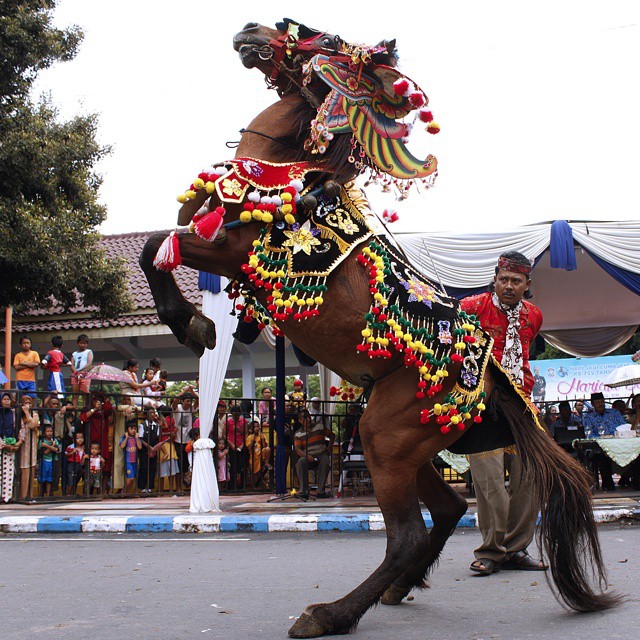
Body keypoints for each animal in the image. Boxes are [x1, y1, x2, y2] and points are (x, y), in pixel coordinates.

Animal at [141, 17, 620, 636]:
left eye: (319, 39)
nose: (249, 30)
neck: (276, 174)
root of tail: (492, 372)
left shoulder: (231, 251)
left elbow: (157, 244)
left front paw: (191, 323)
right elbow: (162, 238)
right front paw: (195, 321)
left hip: (385, 437)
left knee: (409, 532)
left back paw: (331, 613)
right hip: (408, 440)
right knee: (448, 510)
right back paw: (394, 588)